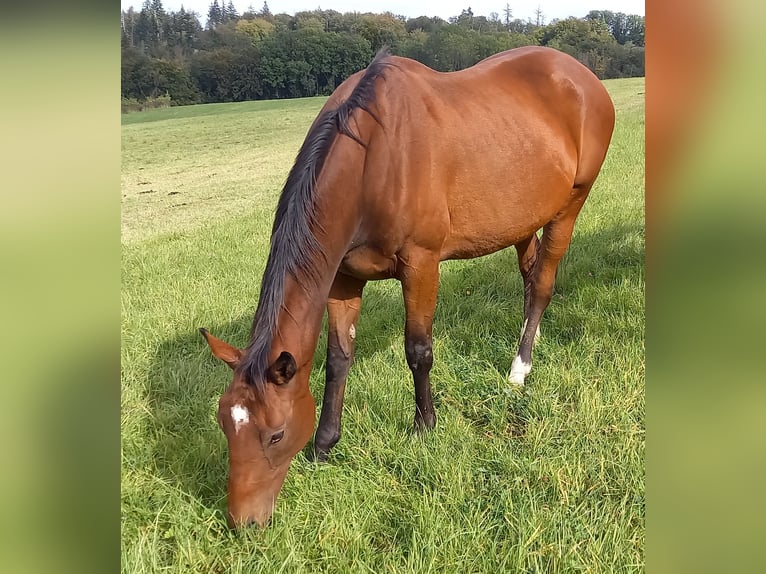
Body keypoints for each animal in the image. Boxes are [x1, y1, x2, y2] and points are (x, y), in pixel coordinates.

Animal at [200, 46, 616, 532]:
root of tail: (582, 75)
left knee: (544, 284)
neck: (372, 158)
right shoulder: (343, 278)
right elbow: (338, 359)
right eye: (226, 426)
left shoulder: (422, 265)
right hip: (522, 218)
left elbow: (418, 350)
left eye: (275, 434)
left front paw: (424, 425)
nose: (243, 522)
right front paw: (325, 444)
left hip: (569, 207)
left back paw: (519, 369)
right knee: (531, 280)